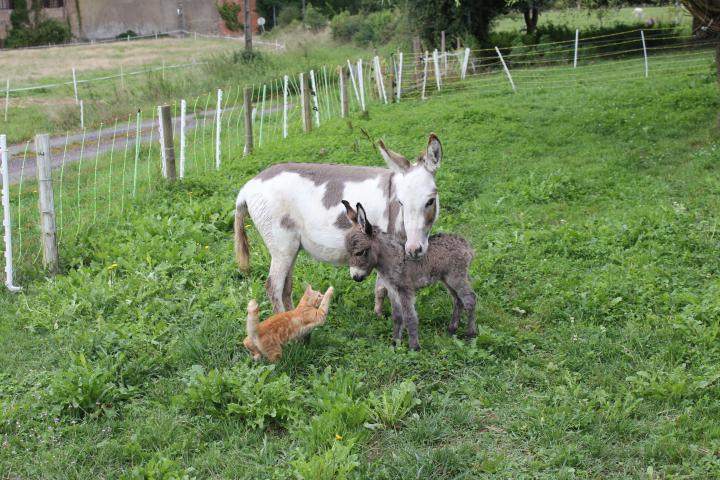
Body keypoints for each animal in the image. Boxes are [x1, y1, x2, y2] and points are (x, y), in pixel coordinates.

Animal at [344, 201, 478, 350]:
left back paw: (471, 334)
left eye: (360, 252)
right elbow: (397, 317)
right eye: (348, 253)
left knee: (470, 298)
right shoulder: (393, 290)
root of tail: (466, 244)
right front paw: (394, 343)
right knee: (458, 299)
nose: (355, 277)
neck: (390, 259)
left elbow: (409, 317)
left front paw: (414, 347)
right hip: (447, 278)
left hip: (456, 276)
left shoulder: (405, 290)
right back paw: (452, 329)